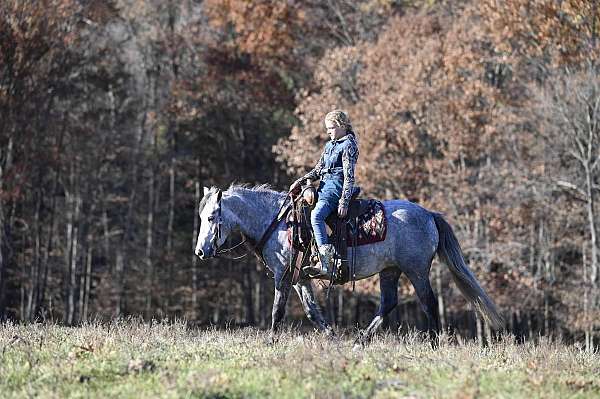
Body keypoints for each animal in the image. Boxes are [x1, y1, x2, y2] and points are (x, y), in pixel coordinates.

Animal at [196, 184, 502, 344]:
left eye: (211, 217)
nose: (200, 251)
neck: (281, 223)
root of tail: (428, 214)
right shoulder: (299, 278)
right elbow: (312, 312)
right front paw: (332, 337)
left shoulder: (283, 275)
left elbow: (277, 311)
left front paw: (271, 341)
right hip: (390, 271)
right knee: (388, 303)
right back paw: (360, 340)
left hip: (416, 270)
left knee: (428, 302)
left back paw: (434, 343)